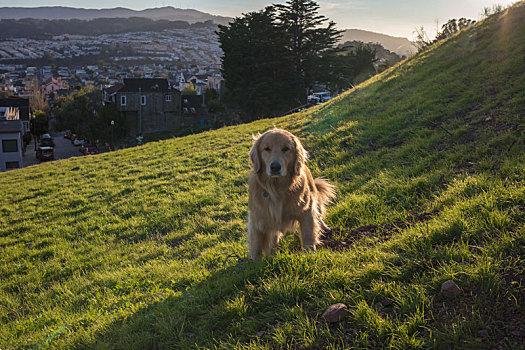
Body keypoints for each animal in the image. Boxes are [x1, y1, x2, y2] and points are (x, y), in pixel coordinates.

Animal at [247, 129, 336, 260]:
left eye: (286, 149)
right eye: (267, 148)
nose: (275, 167)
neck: (277, 188)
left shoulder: (306, 211)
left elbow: (308, 234)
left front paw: (310, 253)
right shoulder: (257, 217)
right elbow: (256, 243)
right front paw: (254, 261)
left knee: (318, 215)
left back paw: (325, 228)